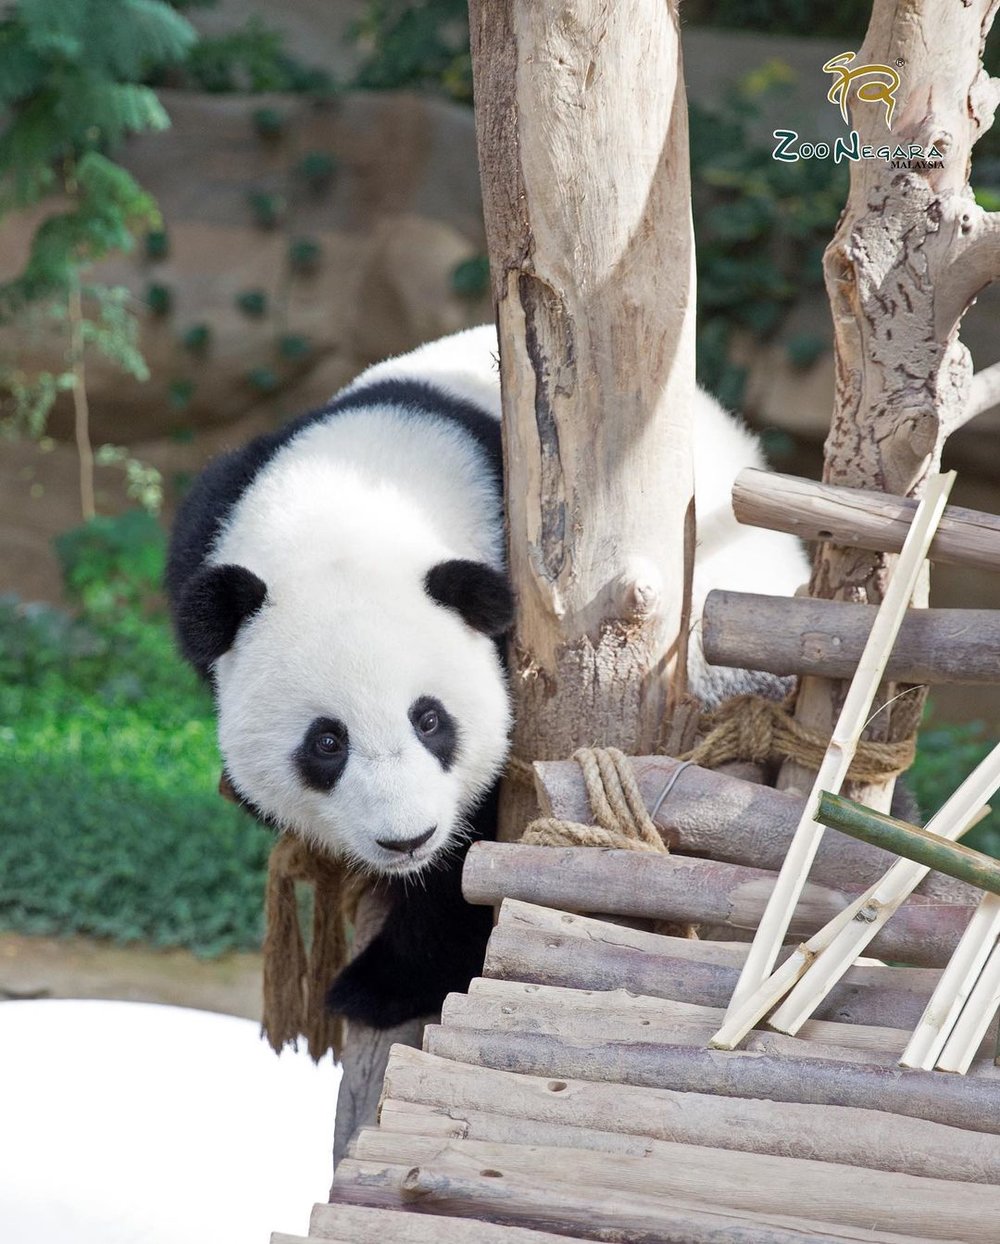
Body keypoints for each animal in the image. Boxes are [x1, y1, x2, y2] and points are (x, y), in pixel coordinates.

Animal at [166, 324, 807, 1028]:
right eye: (327, 742)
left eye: (430, 720)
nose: (406, 840)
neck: (358, 492)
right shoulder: (212, 525)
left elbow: (473, 848)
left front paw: (387, 983)